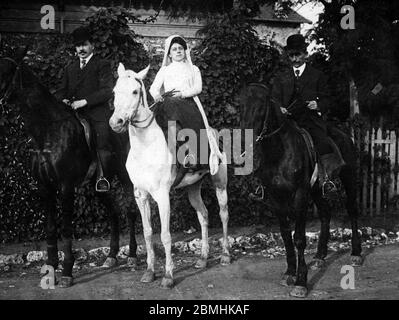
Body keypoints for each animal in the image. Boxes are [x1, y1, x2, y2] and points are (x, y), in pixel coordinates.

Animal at [0, 48, 138, 288]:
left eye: (5, 70)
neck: (48, 133)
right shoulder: (45, 187)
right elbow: (50, 228)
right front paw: (51, 267)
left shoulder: (65, 187)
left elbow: (65, 228)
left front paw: (66, 271)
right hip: (98, 186)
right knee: (113, 213)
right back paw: (111, 256)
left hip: (125, 177)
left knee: (130, 211)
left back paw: (131, 256)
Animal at [109, 63, 231, 288]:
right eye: (115, 91)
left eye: (135, 91)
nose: (116, 122)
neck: (146, 147)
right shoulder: (141, 196)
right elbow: (148, 233)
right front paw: (149, 271)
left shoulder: (162, 196)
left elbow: (165, 236)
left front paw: (168, 275)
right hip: (193, 188)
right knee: (204, 215)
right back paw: (202, 259)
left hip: (220, 182)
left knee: (223, 213)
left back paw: (226, 255)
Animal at [239, 82, 364, 298]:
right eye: (241, 106)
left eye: (261, 108)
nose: (245, 140)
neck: (279, 151)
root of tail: (344, 135)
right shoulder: (276, 198)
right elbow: (285, 235)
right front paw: (289, 272)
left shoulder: (299, 196)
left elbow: (298, 238)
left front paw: (300, 281)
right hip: (316, 190)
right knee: (325, 213)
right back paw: (320, 256)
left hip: (348, 179)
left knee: (352, 210)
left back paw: (356, 253)